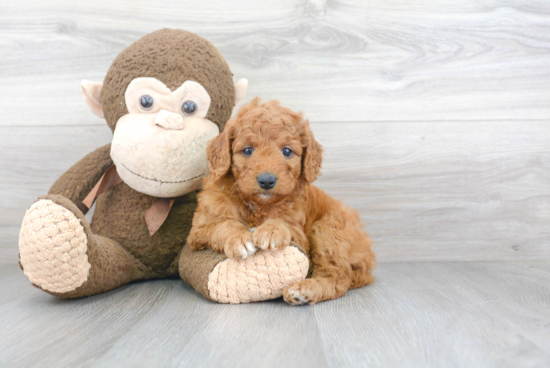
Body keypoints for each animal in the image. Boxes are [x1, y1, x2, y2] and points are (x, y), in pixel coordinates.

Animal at [188, 98, 378, 304]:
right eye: (247, 150)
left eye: (287, 151)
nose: (266, 180)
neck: (257, 205)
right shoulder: (199, 229)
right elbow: (221, 224)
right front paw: (238, 238)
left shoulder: (299, 233)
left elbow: (283, 223)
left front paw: (272, 230)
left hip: (329, 230)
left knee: (339, 277)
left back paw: (304, 290)